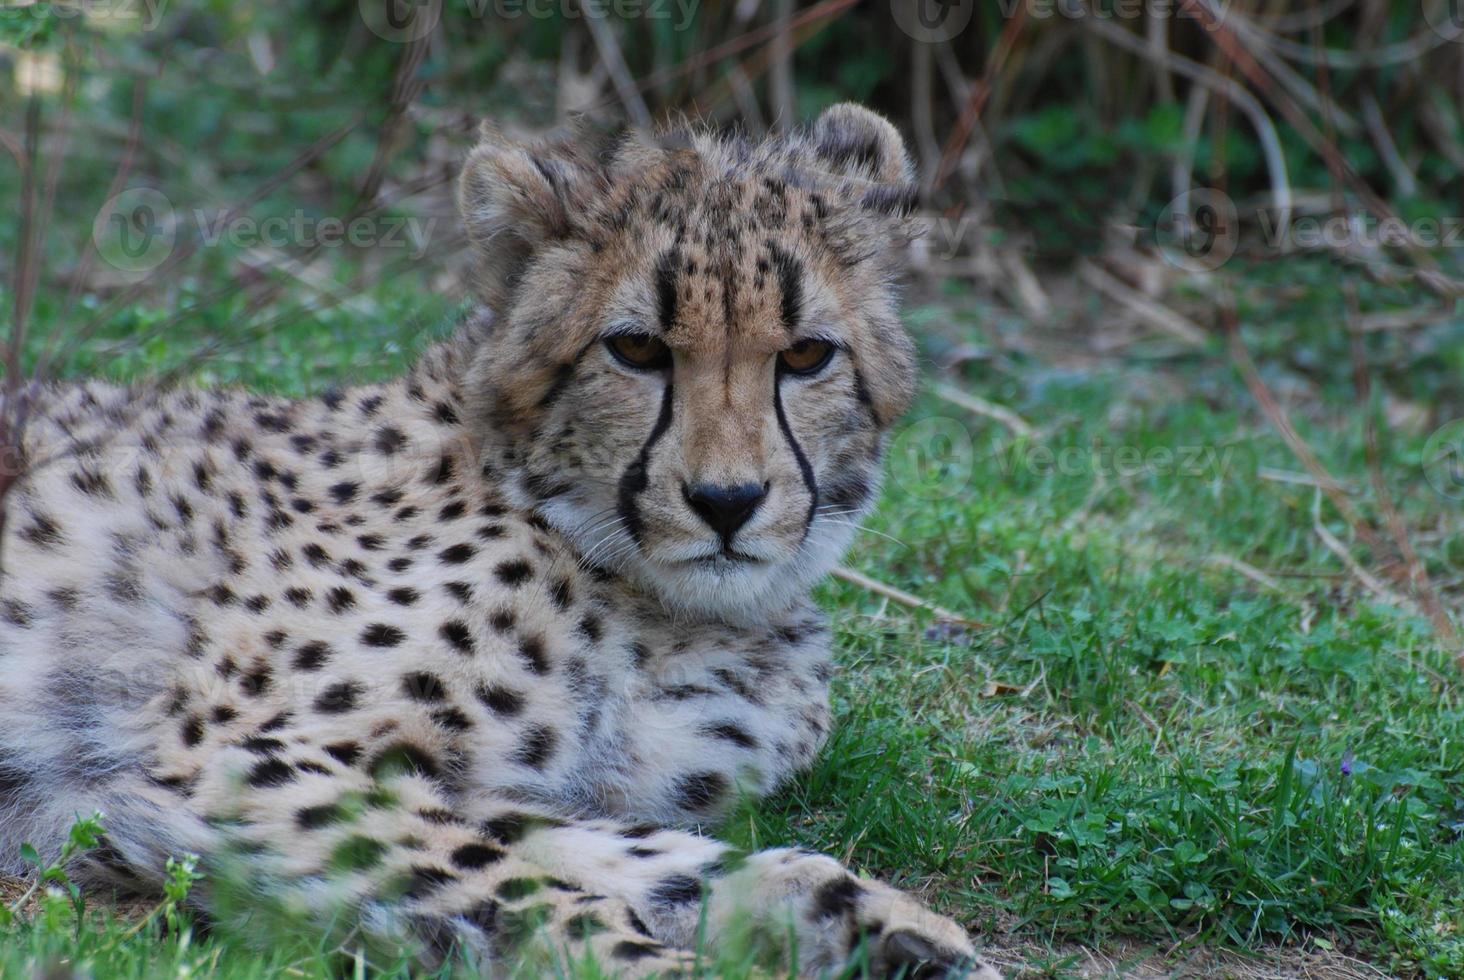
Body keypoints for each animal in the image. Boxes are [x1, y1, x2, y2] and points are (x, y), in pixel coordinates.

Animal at [0, 103, 995, 972]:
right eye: (636, 350)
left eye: (805, 355)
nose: (727, 501)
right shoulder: (238, 755)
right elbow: (515, 885)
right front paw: (645, 962)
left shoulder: (481, 787)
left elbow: (652, 854)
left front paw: (877, 923)